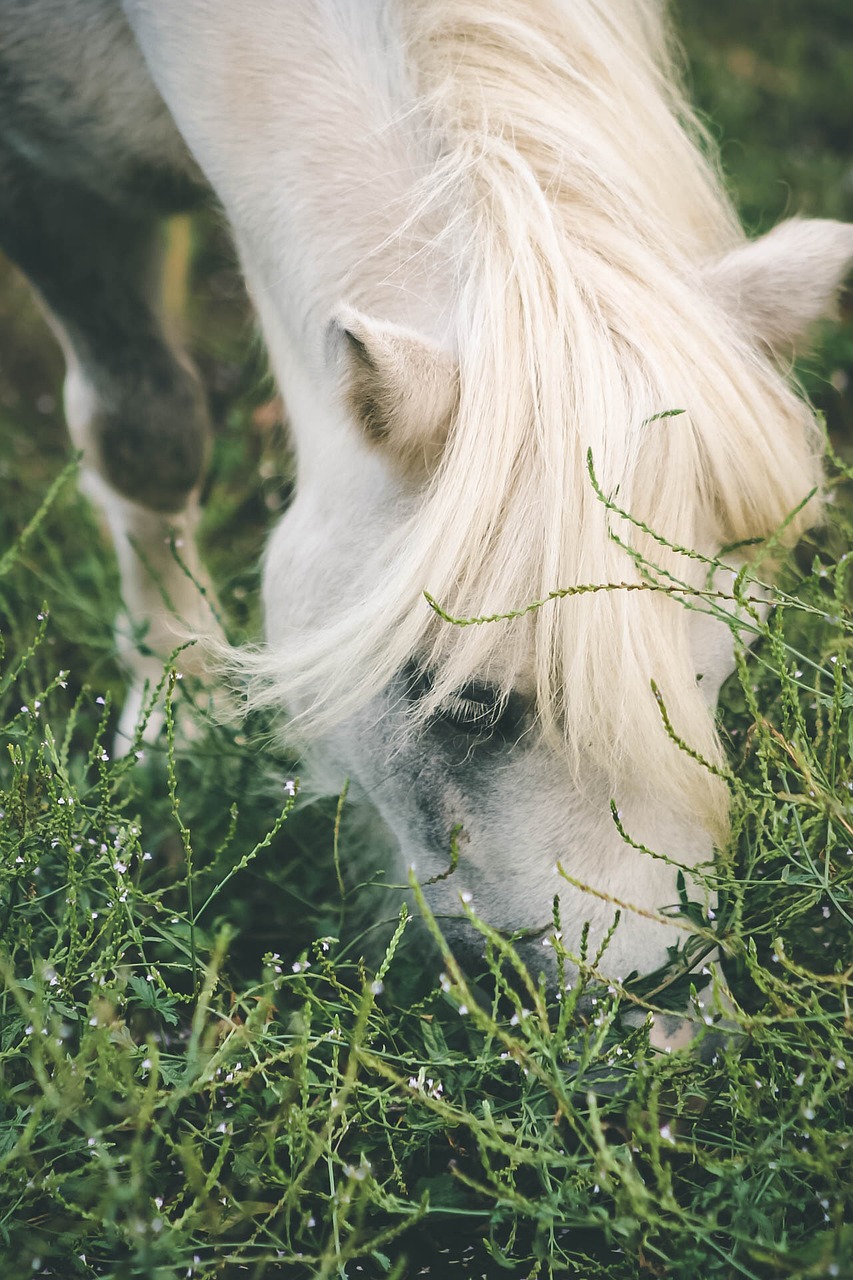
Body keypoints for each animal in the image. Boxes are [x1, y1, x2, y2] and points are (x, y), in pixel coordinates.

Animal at [1, 2, 850, 1008]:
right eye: (470, 704)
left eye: (726, 665)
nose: (662, 1009)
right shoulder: (50, 188)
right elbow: (144, 435)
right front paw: (179, 719)